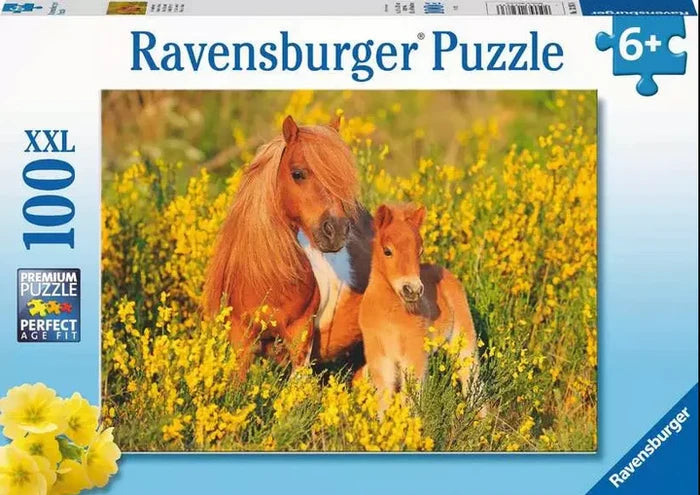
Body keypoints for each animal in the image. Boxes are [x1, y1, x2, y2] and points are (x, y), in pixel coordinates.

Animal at [357, 203, 480, 408]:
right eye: (387, 251)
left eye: (419, 251)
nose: (412, 289)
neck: (390, 315)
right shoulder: (379, 356)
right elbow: (383, 398)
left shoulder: (414, 354)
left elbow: (411, 398)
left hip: (463, 336)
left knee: (471, 377)